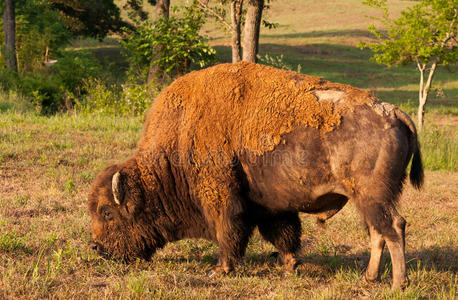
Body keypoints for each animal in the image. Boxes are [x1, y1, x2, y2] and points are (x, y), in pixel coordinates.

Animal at [87, 62, 424, 290]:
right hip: (366, 200)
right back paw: (369, 277)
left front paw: (219, 270)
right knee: (377, 232)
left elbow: (228, 234)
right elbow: (285, 234)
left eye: (108, 212)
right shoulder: (270, 206)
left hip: (373, 197)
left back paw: (398, 284)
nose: (97, 248)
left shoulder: (222, 200)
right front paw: (289, 266)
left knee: (393, 227)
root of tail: (394, 113)